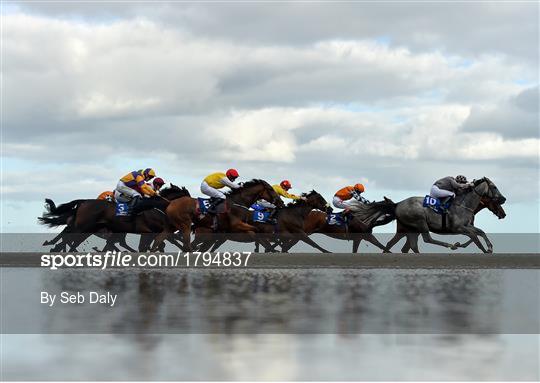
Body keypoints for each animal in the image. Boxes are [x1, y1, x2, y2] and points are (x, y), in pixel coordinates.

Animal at [149, 179, 282, 252]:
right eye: (271, 189)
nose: (281, 202)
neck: (238, 201)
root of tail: (170, 203)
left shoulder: (236, 228)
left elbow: (255, 233)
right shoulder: (236, 225)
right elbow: (256, 230)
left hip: (172, 226)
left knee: (159, 239)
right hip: (185, 224)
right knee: (187, 244)